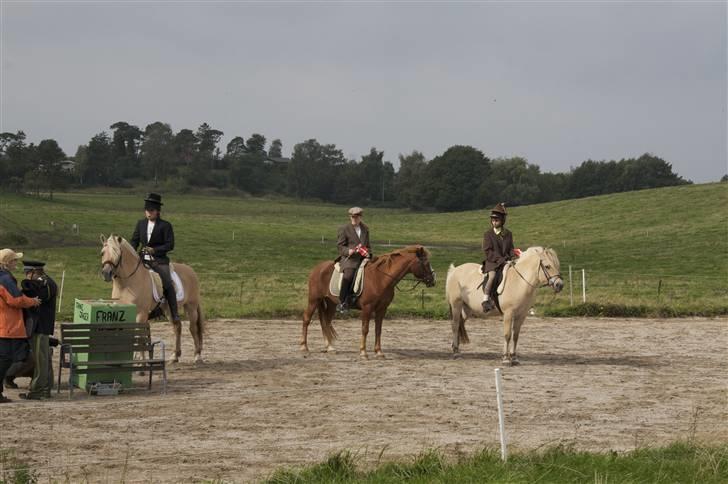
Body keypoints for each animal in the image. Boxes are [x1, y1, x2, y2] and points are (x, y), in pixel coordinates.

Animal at [99, 234, 205, 364]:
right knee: (177, 327)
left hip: (191, 306)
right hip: (169, 309)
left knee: (193, 328)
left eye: (118, 254)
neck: (127, 283)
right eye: (102, 253)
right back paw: (175, 356)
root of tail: (190, 270)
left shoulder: (141, 314)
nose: (106, 273)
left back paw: (197, 356)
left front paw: (140, 360)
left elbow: (139, 336)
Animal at [300, 248, 436, 358]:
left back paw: (329, 347)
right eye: (425, 263)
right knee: (307, 318)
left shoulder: (382, 309)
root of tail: (317, 268)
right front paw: (363, 352)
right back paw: (304, 347)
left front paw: (379, 352)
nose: (433, 280)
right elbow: (365, 329)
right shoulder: (367, 308)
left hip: (331, 304)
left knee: (326, 322)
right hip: (314, 300)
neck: (381, 278)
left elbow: (378, 330)